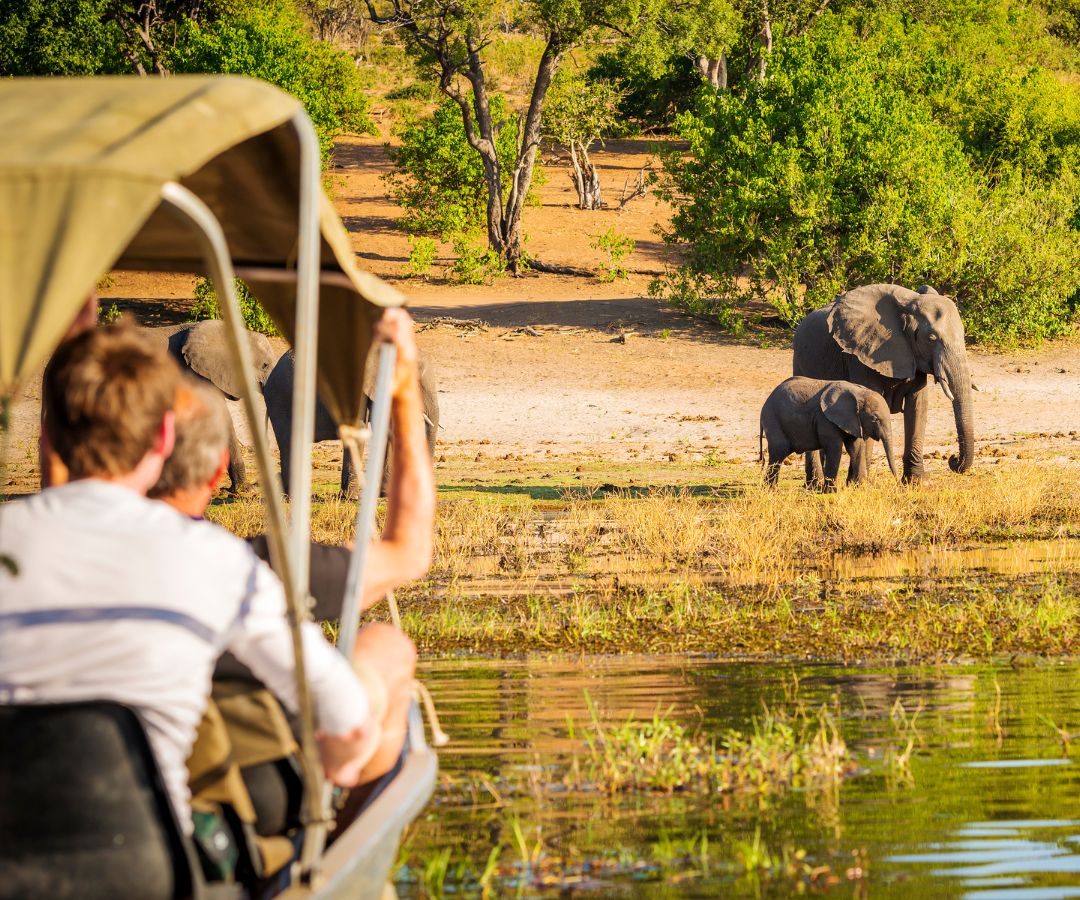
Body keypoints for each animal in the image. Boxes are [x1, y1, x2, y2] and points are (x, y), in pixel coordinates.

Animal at [760, 378, 902, 494]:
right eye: (875, 419)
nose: (898, 483)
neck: (858, 392)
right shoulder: (825, 419)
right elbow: (835, 448)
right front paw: (831, 492)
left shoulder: (853, 420)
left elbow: (855, 448)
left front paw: (861, 489)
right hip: (773, 420)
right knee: (779, 452)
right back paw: (771, 491)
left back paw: (771, 490)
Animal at [790, 283, 976, 484]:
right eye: (931, 338)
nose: (953, 460)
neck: (908, 304)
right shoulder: (860, 355)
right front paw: (860, 484)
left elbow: (917, 407)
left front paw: (917, 483)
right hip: (799, 362)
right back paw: (815, 484)